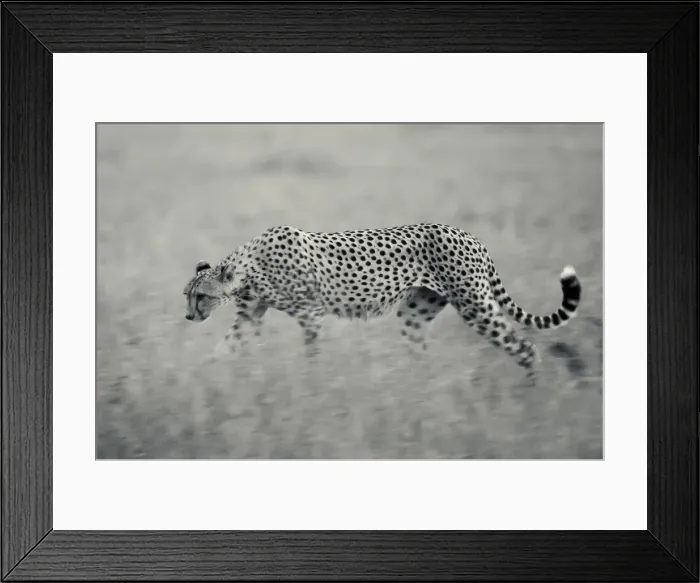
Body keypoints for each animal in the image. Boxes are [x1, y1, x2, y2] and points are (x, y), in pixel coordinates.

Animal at [183, 223, 581, 372]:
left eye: (201, 296)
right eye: (187, 295)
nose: (188, 317)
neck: (249, 266)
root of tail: (468, 234)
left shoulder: (311, 314)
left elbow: (311, 354)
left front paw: (312, 385)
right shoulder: (250, 316)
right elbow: (225, 349)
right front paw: (208, 377)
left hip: (476, 307)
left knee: (525, 348)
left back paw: (531, 398)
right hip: (415, 313)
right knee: (421, 355)